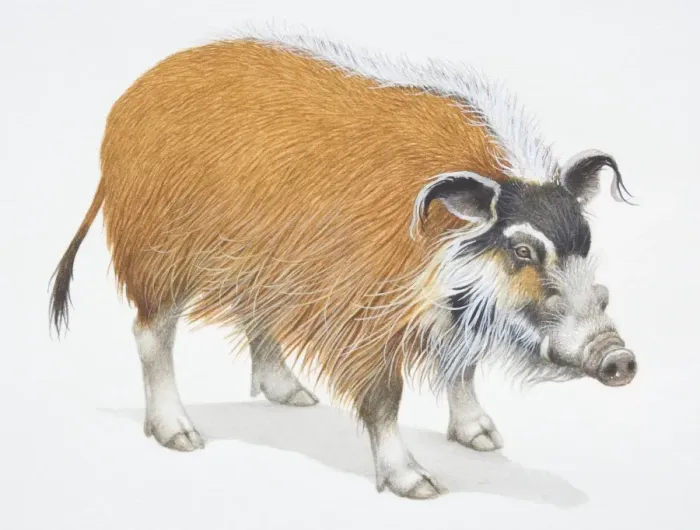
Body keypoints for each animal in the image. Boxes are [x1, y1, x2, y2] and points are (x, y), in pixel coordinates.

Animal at [49, 29, 636, 499]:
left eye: (585, 240)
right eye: (522, 250)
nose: (620, 358)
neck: (446, 241)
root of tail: (126, 105)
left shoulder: (451, 314)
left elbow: (462, 366)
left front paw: (484, 440)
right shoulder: (366, 315)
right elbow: (385, 398)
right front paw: (418, 486)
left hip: (262, 265)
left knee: (256, 315)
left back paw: (295, 397)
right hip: (159, 255)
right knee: (151, 333)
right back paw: (183, 436)